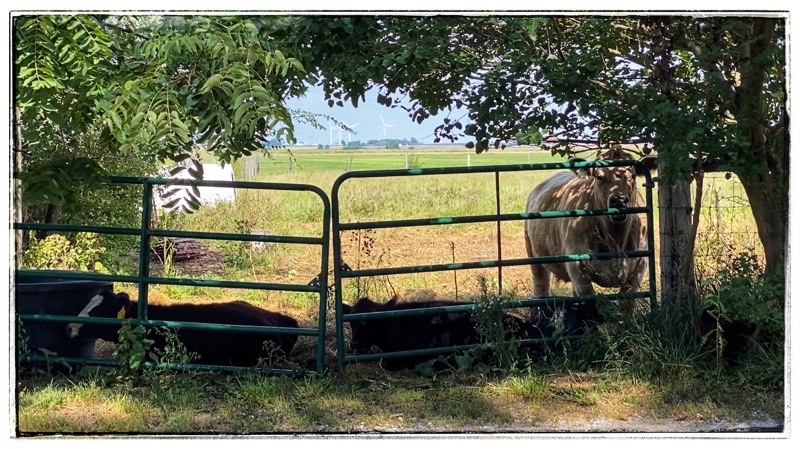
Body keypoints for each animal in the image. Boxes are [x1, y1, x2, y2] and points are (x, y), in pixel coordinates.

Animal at [524, 148, 649, 336]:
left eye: (633, 175)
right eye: (599, 176)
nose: (619, 200)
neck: (615, 239)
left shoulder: (640, 264)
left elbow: (626, 304)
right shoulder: (577, 267)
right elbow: (592, 306)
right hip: (535, 257)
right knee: (540, 289)